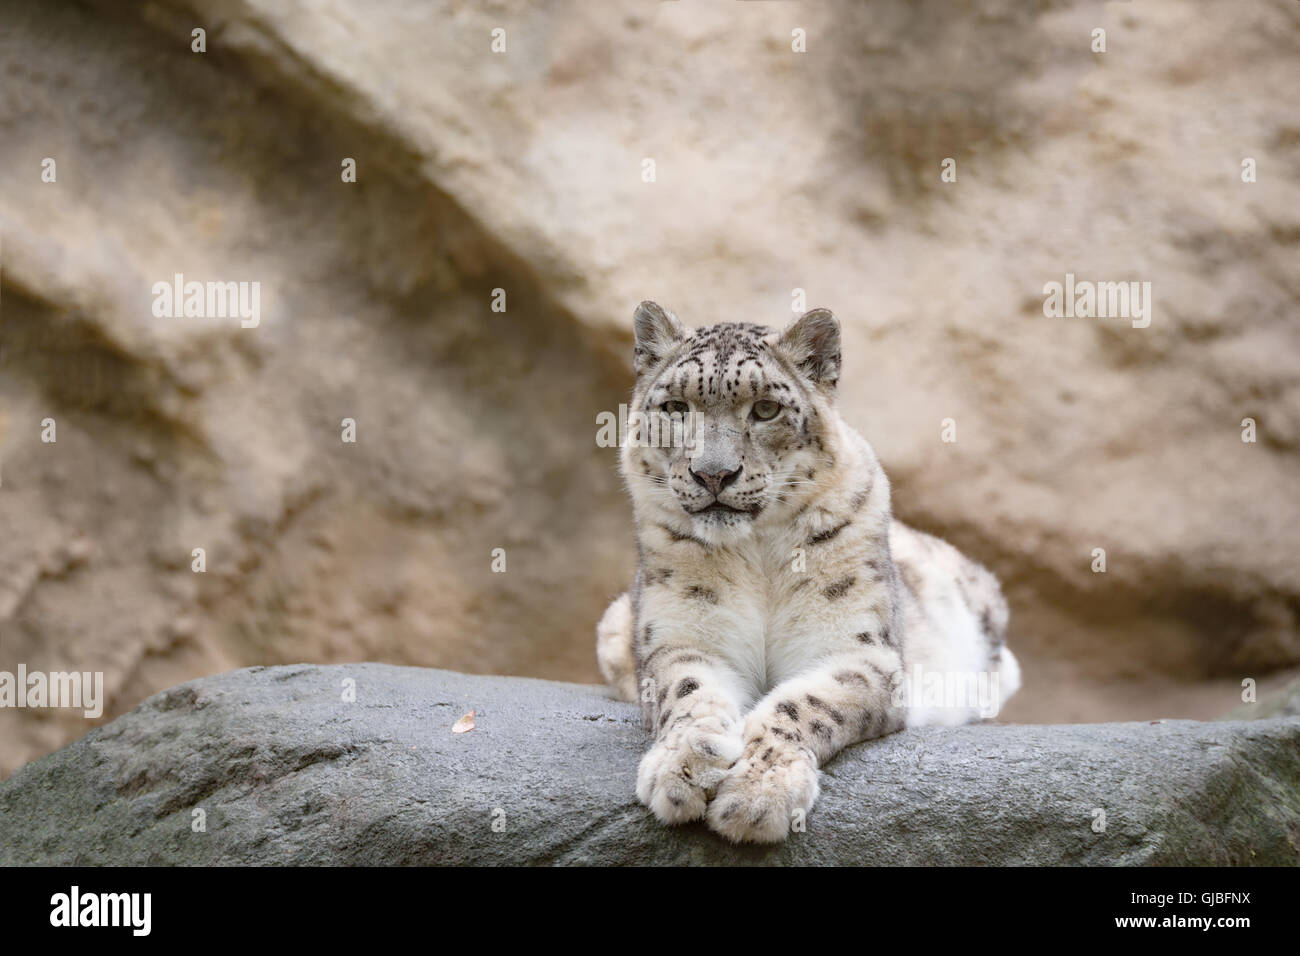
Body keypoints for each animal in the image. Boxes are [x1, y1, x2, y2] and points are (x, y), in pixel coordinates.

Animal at [596, 301, 1021, 843]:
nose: (713, 474)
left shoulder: (857, 650)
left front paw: (758, 793)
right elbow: (688, 692)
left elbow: (806, 703)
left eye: (765, 409)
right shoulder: (682, 637)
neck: (756, 554)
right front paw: (685, 766)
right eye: (675, 408)